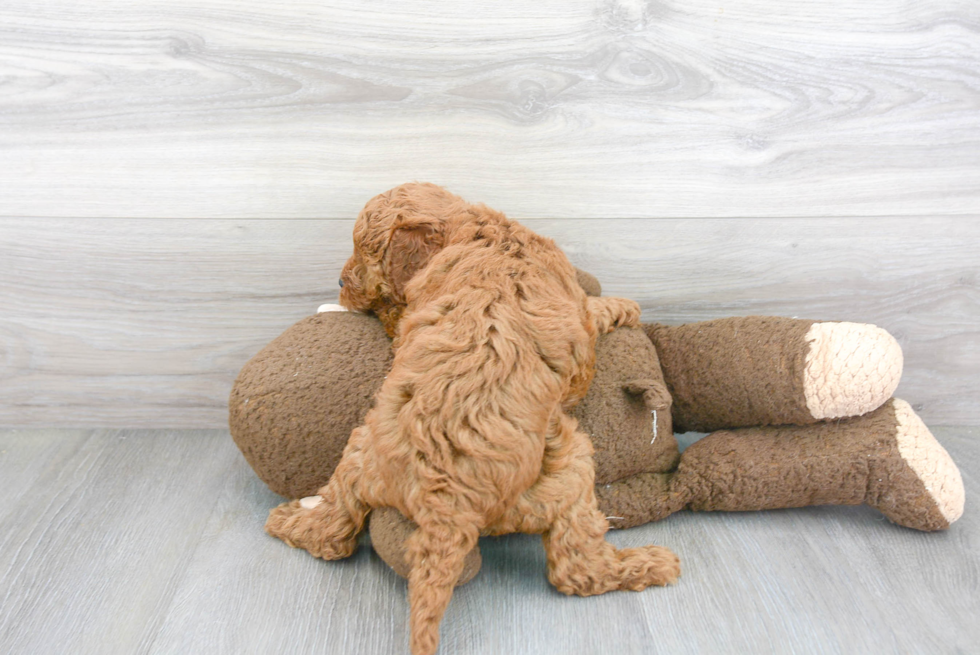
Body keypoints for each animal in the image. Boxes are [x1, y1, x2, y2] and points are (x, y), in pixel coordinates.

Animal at [268, 183, 680, 655]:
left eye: (363, 251)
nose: (339, 283)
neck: (473, 227)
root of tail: (444, 503)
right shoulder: (576, 313)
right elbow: (594, 309)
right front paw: (624, 304)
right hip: (570, 470)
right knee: (576, 572)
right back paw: (651, 563)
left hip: (359, 452)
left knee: (332, 534)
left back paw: (290, 519)